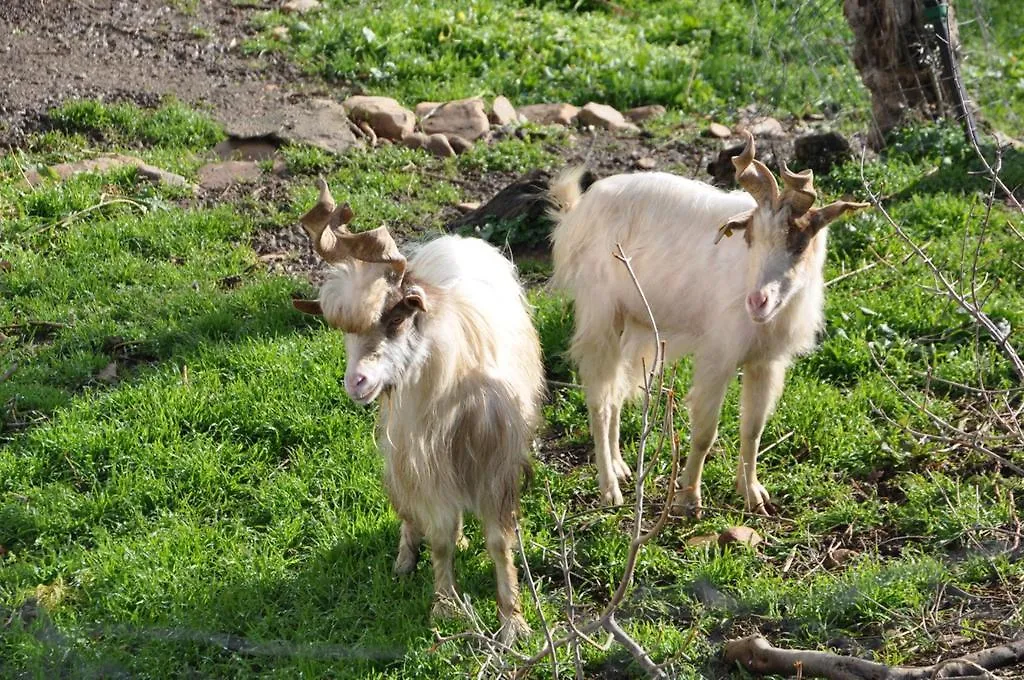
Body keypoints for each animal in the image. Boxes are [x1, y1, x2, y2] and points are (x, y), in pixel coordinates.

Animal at [294, 178, 544, 639]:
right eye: (342, 331)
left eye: (396, 316)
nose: (356, 383)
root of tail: (455, 241)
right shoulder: (423, 458)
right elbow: (439, 535)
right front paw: (444, 607)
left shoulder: (496, 461)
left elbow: (499, 541)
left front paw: (513, 621)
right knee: (411, 508)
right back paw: (406, 559)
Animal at [548, 131, 868, 516]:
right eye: (751, 238)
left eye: (799, 241)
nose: (757, 301)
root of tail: (577, 216)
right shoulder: (718, 355)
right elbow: (705, 432)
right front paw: (689, 499)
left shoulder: (766, 361)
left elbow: (753, 428)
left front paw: (752, 493)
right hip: (600, 316)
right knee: (599, 399)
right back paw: (609, 488)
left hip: (632, 323)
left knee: (615, 395)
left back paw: (621, 466)